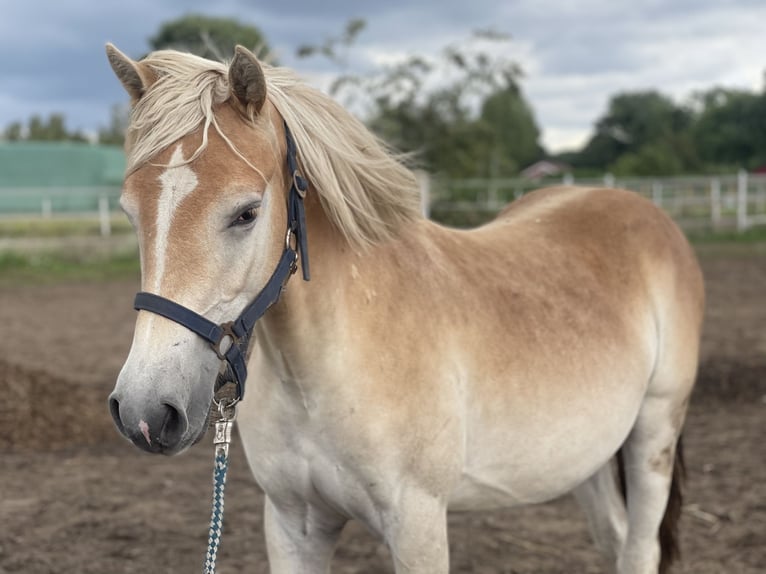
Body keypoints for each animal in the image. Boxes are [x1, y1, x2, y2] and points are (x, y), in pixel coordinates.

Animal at [105, 42, 704, 572]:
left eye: (247, 212)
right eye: (131, 213)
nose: (144, 410)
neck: (329, 366)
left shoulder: (419, 525)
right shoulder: (294, 524)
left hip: (653, 435)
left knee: (640, 550)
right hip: (589, 459)